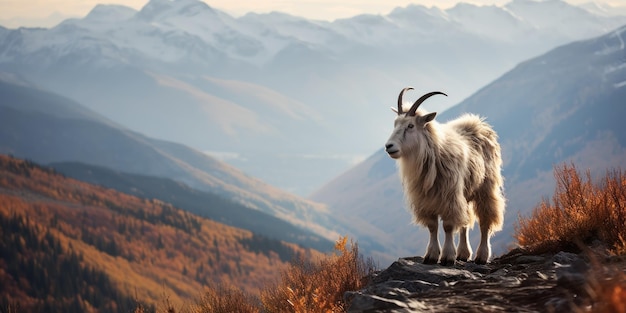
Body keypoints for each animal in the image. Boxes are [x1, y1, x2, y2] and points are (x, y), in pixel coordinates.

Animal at [382, 86, 504, 264]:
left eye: (410, 125)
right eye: (395, 124)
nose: (389, 146)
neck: (434, 151)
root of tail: (480, 125)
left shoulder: (449, 196)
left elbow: (448, 226)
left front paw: (447, 256)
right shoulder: (426, 199)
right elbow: (433, 226)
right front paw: (431, 256)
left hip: (485, 188)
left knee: (485, 221)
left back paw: (481, 256)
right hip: (464, 192)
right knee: (465, 221)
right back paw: (463, 254)